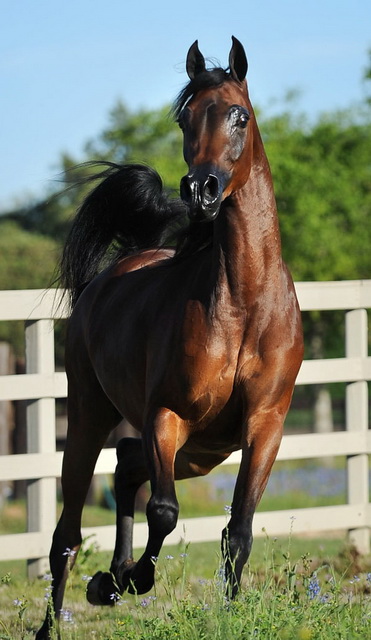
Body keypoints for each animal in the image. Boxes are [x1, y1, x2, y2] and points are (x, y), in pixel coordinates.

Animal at [36, 37, 306, 636]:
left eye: (239, 114)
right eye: (185, 117)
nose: (200, 190)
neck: (244, 305)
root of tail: (110, 276)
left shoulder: (265, 425)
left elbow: (237, 533)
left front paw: (223, 612)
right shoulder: (167, 413)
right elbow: (164, 513)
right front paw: (127, 580)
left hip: (201, 452)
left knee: (126, 466)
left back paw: (109, 579)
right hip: (90, 418)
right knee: (68, 532)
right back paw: (63, 615)